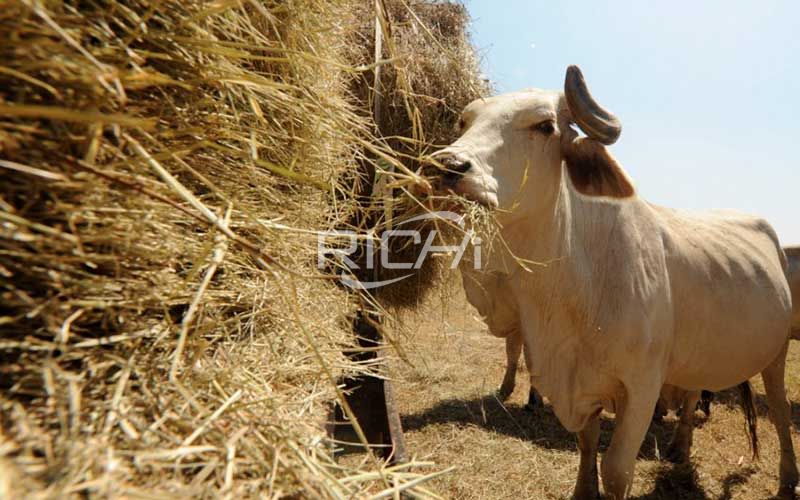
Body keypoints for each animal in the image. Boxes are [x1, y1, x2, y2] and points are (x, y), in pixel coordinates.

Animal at [434, 65, 796, 496]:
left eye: (544, 126)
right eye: (465, 121)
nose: (447, 164)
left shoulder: (641, 389)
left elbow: (616, 469)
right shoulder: (578, 385)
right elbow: (587, 445)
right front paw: (583, 490)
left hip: (775, 354)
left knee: (780, 412)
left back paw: (787, 477)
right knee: (693, 395)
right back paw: (680, 448)